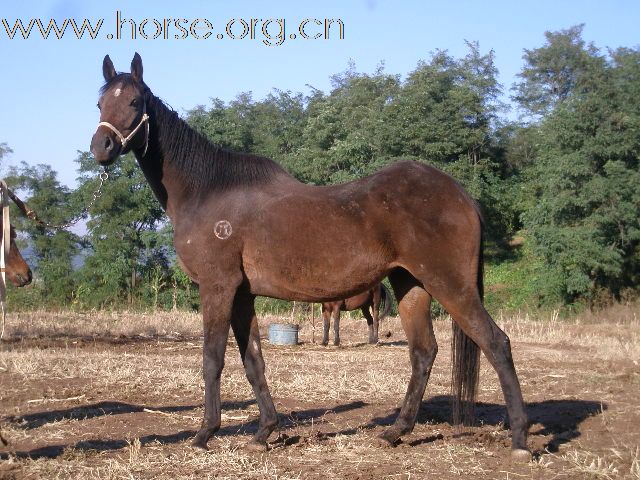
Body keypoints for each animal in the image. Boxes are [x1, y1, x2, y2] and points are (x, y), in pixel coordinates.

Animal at [90, 53, 528, 462]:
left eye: (134, 101)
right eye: (100, 103)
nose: (101, 147)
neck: (207, 191)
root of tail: (461, 194)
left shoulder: (218, 287)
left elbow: (212, 359)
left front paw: (204, 434)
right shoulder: (242, 294)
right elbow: (253, 361)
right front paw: (264, 432)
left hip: (450, 285)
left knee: (496, 343)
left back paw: (521, 440)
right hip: (412, 285)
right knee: (423, 353)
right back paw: (394, 432)